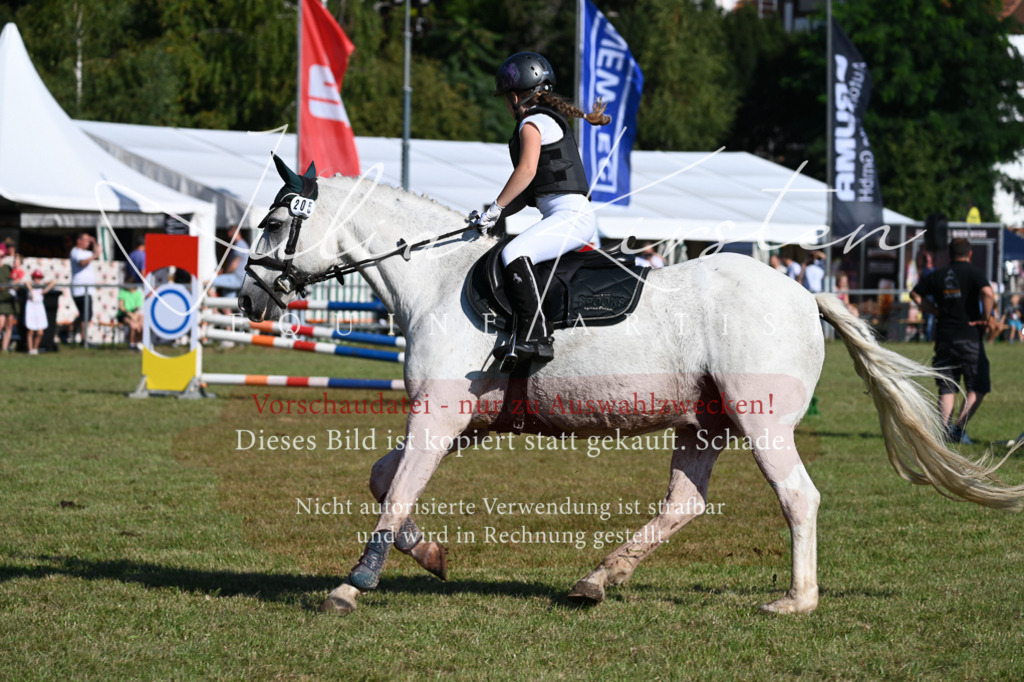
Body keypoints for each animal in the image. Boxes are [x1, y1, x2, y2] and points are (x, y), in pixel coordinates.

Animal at [238, 160, 1024, 616]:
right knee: (685, 502)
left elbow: (396, 489)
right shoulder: (462, 419)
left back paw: (795, 602)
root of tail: (807, 295)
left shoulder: (438, 415)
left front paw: (353, 584)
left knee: (798, 497)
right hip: (704, 421)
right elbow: (384, 479)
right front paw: (428, 555)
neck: (436, 277)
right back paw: (596, 580)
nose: (248, 298)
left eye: (273, 223)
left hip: (760, 419)